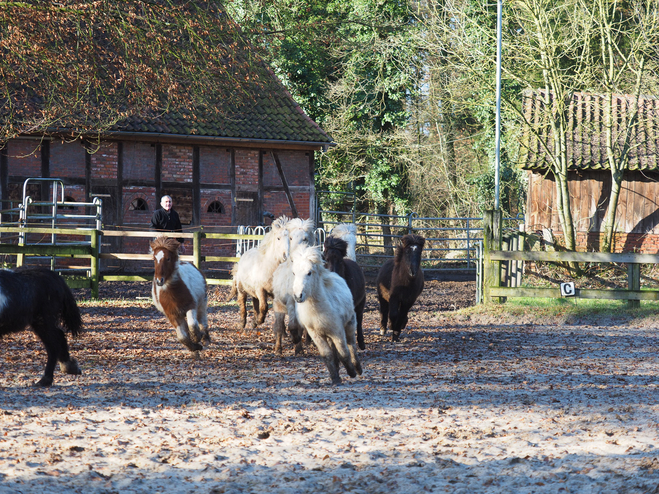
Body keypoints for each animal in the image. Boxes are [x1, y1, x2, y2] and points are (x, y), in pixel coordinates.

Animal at [272, 218, 316, 354]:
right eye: (290, 238)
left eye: (305, 238)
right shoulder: (291, 301)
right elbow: (292, 326)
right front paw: (295, 340)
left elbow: (300, 327)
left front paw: (299, 347)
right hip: (279, 306)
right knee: (279, 327)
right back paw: (278, 349)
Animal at [292, 247, 364, 386]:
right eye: (294, 273)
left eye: (309, 273)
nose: (298, 296)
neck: (318, 309)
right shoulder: (315, 334)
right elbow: (327, 355)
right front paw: (335, 378)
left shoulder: (337, 331)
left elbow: (344, 353)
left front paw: (351, 372)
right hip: (329, 334)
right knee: (335, 351)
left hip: (350, 324)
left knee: (352, 345)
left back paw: (358, 369)